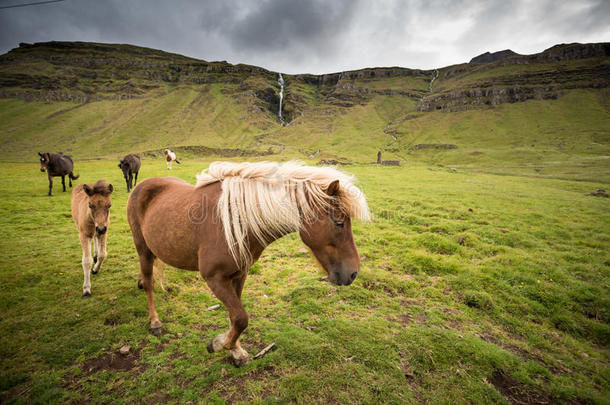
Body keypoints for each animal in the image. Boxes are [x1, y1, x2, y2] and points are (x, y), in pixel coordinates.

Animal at [126, 160, 368, 366]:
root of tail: (142, 186)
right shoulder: (214, 277)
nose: (353, 273)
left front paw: (235, 351)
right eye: (338, 222)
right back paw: (155, 322)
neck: (237, 222)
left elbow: (235, 317)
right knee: (149, 283)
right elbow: (241, 318)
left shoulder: (239, 273)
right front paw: (218, 345)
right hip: (143, 250)